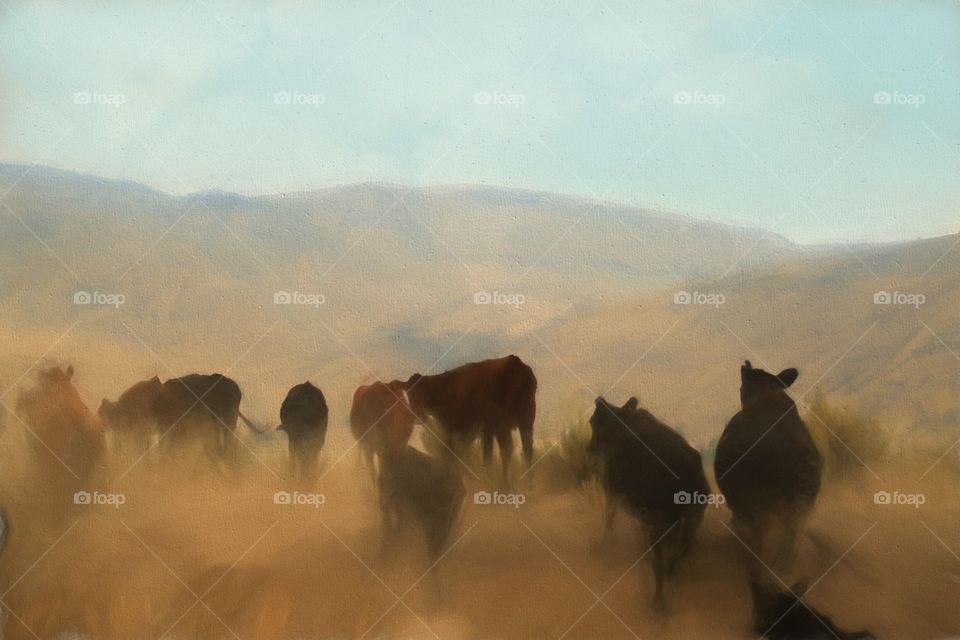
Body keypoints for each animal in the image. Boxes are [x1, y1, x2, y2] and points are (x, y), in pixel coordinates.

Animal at [402, 352, 536, 482]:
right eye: (409, 394)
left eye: (422, 393)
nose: (416, 414)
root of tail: (515, 361)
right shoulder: (481, 432)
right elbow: (479, 455)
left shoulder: (454, 428)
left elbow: (452, 454)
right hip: (526, 422)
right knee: (527, 450)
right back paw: (529, 483)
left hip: (502, 423)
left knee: (506, 449)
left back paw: (504, 483)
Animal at [580, 398, 708, 612]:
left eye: (593, 421)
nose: (589, 449)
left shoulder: (612, 492)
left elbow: (609, 522)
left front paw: (602, 547)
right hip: (692, 518)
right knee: (681, 550)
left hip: (661, 522)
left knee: (661, 563)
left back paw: (657, 606)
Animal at [712, 360, 824, 576]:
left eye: (744, 384)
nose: (746, 364)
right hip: (796, 510)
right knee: (788, 546)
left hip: (759, 509)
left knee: (757, 544)